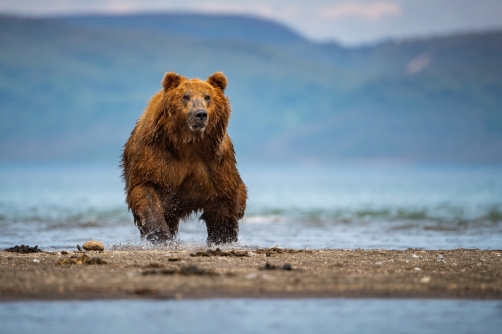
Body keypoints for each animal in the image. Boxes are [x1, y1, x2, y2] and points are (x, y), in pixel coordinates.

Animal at [121, 71, 247, 243]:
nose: (200, 114)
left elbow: (222, 198)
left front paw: (222, 238)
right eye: (185, 96)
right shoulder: (156, 156)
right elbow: (147, 190)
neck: (189, 144)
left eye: (207, 96)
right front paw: (161, 236)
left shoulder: (214, 162)